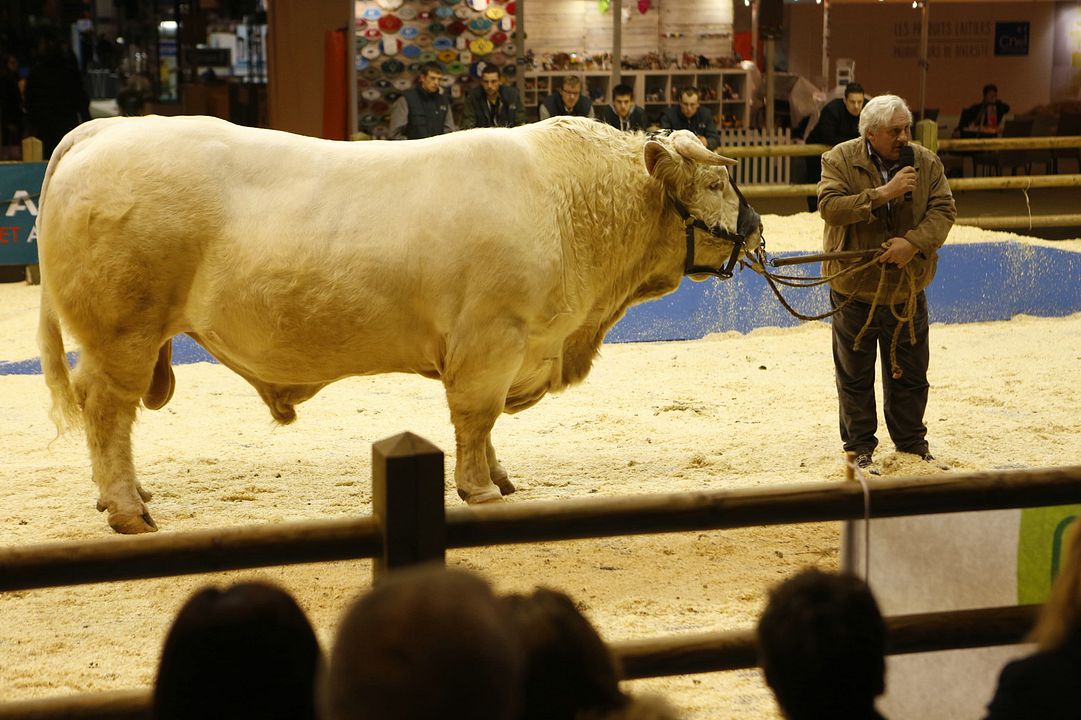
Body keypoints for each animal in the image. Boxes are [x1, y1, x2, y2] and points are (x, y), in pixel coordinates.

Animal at [33, 115, 761, 529]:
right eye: (717, 184)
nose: (756, 227)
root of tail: (103, 131)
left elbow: (485, 429)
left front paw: (497, 476)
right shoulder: (492, 340)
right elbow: (475, 418)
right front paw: (480, 490)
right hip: (121, 333)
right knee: (108, 409)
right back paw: (127, 508)